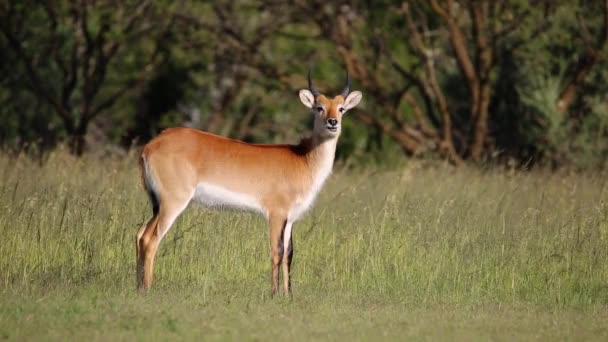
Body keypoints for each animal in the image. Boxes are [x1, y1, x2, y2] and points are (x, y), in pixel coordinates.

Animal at [137, 71, 360, 296]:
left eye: (341, 108)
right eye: (319, 107)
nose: (333, 122)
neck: (303, 159)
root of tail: (151, 145)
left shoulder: (290, 218)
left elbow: (289, 254)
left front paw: (288, 295)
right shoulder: (276, 214)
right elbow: (276, 251)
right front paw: (274, 294)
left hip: (158, 205)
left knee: (140, 235)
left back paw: (137, 286)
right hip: (173, 202)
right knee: (151, 239)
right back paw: (147, 289)